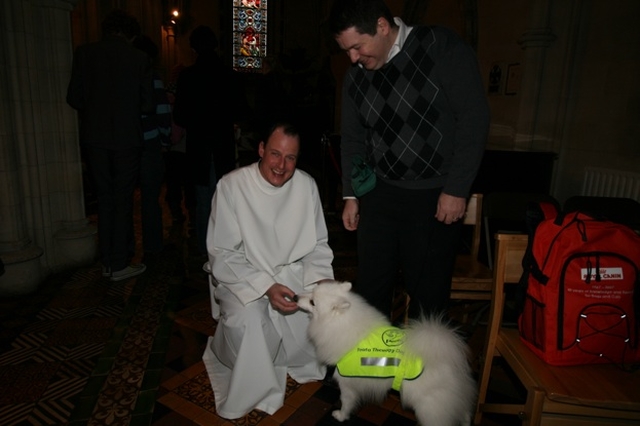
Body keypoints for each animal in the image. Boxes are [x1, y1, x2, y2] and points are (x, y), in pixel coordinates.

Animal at [296, 282, 476, 424]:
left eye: (313, 302)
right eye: (311, 291)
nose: (295, 297)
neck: (340, 323)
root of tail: (448, 359)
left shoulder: (347, 383)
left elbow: (346, 402)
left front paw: (341, 416)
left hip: (429, 407)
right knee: (466, 414)